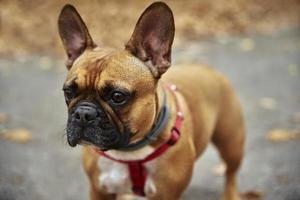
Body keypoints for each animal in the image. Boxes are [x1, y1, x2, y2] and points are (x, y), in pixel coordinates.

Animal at [58, 1, 244, 200]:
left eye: (117, 96)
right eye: (68, 92)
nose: (83, 113)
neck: (129, 154)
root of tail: (207, 68)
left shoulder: (166, 195)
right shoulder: (99, 190)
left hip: (231, 143)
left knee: (231, 172)